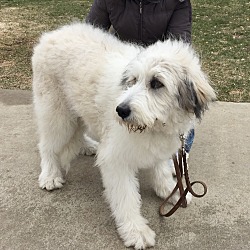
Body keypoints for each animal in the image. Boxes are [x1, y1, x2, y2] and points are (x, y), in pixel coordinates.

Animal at [32, 22, 217, 249]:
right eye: (133, 80)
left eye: (156, 83)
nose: (120, 110)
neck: (154, 125)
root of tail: (50, 35)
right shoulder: (115, 160)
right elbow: (126, 198)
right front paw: (136, 231)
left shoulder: (162, 145)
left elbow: (161, 168)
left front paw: (168, 190)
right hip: (56, 115)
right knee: (47, 145)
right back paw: (50, 175)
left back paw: (87, 145)